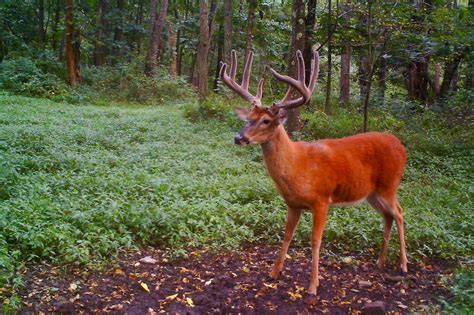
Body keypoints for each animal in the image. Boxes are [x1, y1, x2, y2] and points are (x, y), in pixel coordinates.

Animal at [218, 50, 408, 304]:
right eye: (248, 116)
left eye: (266, 120)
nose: (238, 137)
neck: (298, 166)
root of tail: (401, 146)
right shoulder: (292, 204)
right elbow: (287, 236)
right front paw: (274, 273)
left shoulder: (321, 200)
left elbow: (315, 241)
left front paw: (312, 286)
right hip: (372, 193)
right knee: (388, 216)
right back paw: (380, 262)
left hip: (389, 185)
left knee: (399, 213)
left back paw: (403, 266)